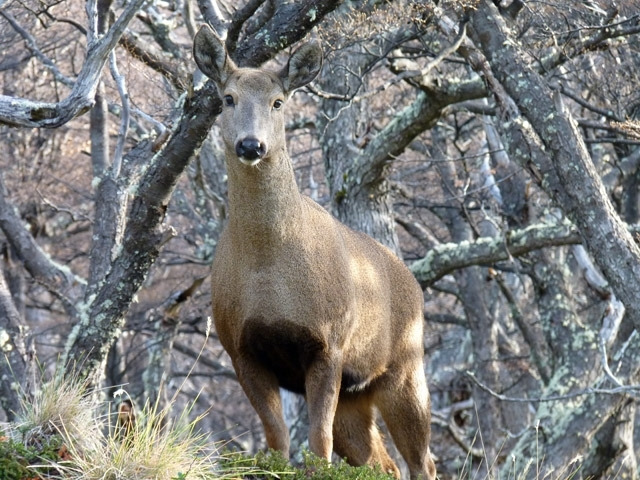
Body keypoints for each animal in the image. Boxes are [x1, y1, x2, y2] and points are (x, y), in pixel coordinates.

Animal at [192, 25, 438, 480]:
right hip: (357, 395)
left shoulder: (329, 342)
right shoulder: (240, 348)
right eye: (228, 98)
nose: (251, 145)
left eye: (278, 101)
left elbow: (317, 445)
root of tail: (413, 283)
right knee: (383, 464)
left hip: (406, 368)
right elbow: (277, 441)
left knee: (422, 462)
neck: (269, 272)